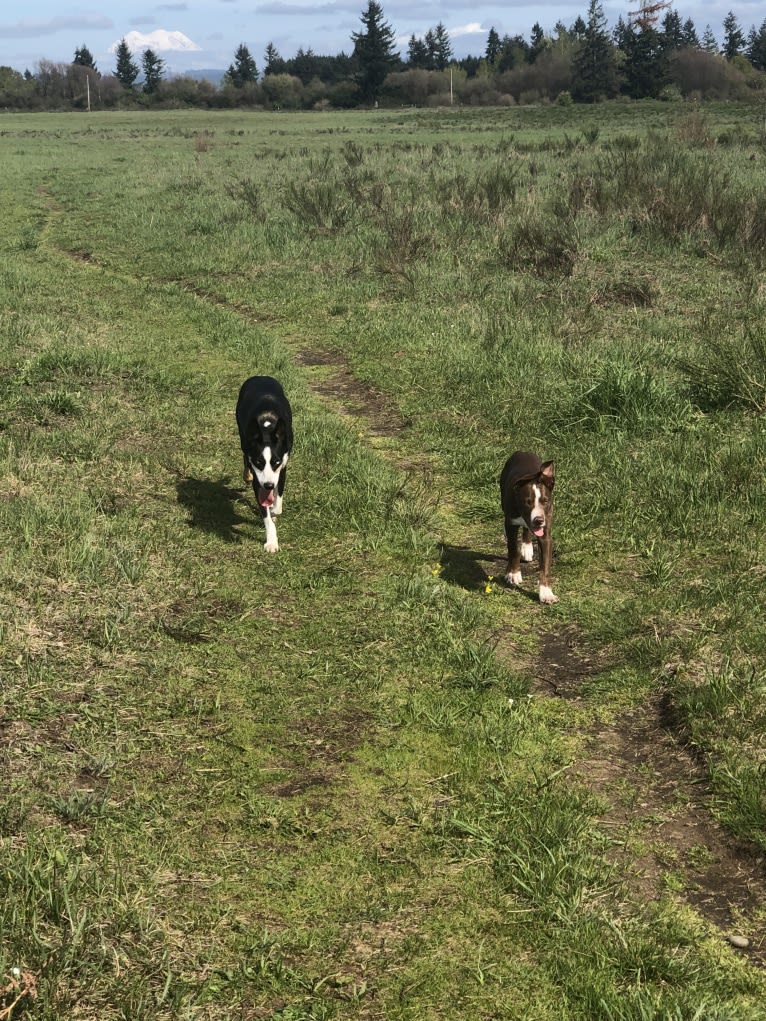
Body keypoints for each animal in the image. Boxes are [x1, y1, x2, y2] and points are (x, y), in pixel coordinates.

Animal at [235, 373, 292, 551]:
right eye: (259, 462)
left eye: (276, 461)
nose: (268, 485)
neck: (266, 428)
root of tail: (260, 376)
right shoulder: (258, 476)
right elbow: (265, 511)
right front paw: (272, 541)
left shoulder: (283, 467)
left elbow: (277, 502)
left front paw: (274, 510)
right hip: (243, 436)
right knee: (244, 456)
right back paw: (247, 476)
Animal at [504, 449, 559, 600]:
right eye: (527, 502)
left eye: (545, 501)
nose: (538, 520)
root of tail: (522, 451)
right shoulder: (510, 523)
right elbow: (513, 549)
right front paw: (514, 574)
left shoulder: (546, 534)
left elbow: (545, 566)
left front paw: (546, 593)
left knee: (527, 530)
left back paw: (527, 547)